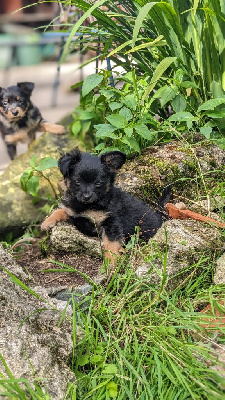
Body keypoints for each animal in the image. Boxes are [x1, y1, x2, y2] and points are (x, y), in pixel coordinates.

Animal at [41, 148, 170, 264]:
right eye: (77, 182)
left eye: (98, 183)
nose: (86, 196)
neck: (87, 206)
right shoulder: (75, 215)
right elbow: (60, 211)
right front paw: (47, 222)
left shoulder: (110, 223)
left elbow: (111, 244)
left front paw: (110, 263)